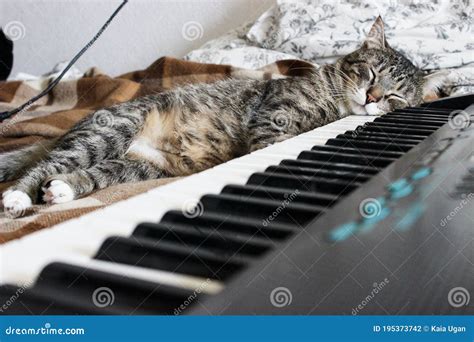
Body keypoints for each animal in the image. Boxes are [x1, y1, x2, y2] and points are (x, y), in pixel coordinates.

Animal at [0, 16, 444, 216]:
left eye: (395, 95)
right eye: (371, 73)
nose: (372, 97)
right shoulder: (273, 120)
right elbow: (276, 145)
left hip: (132, 169)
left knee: (82, 175)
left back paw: (62, 191)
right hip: (108, 134)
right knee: (44, 166)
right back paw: (19, 195)